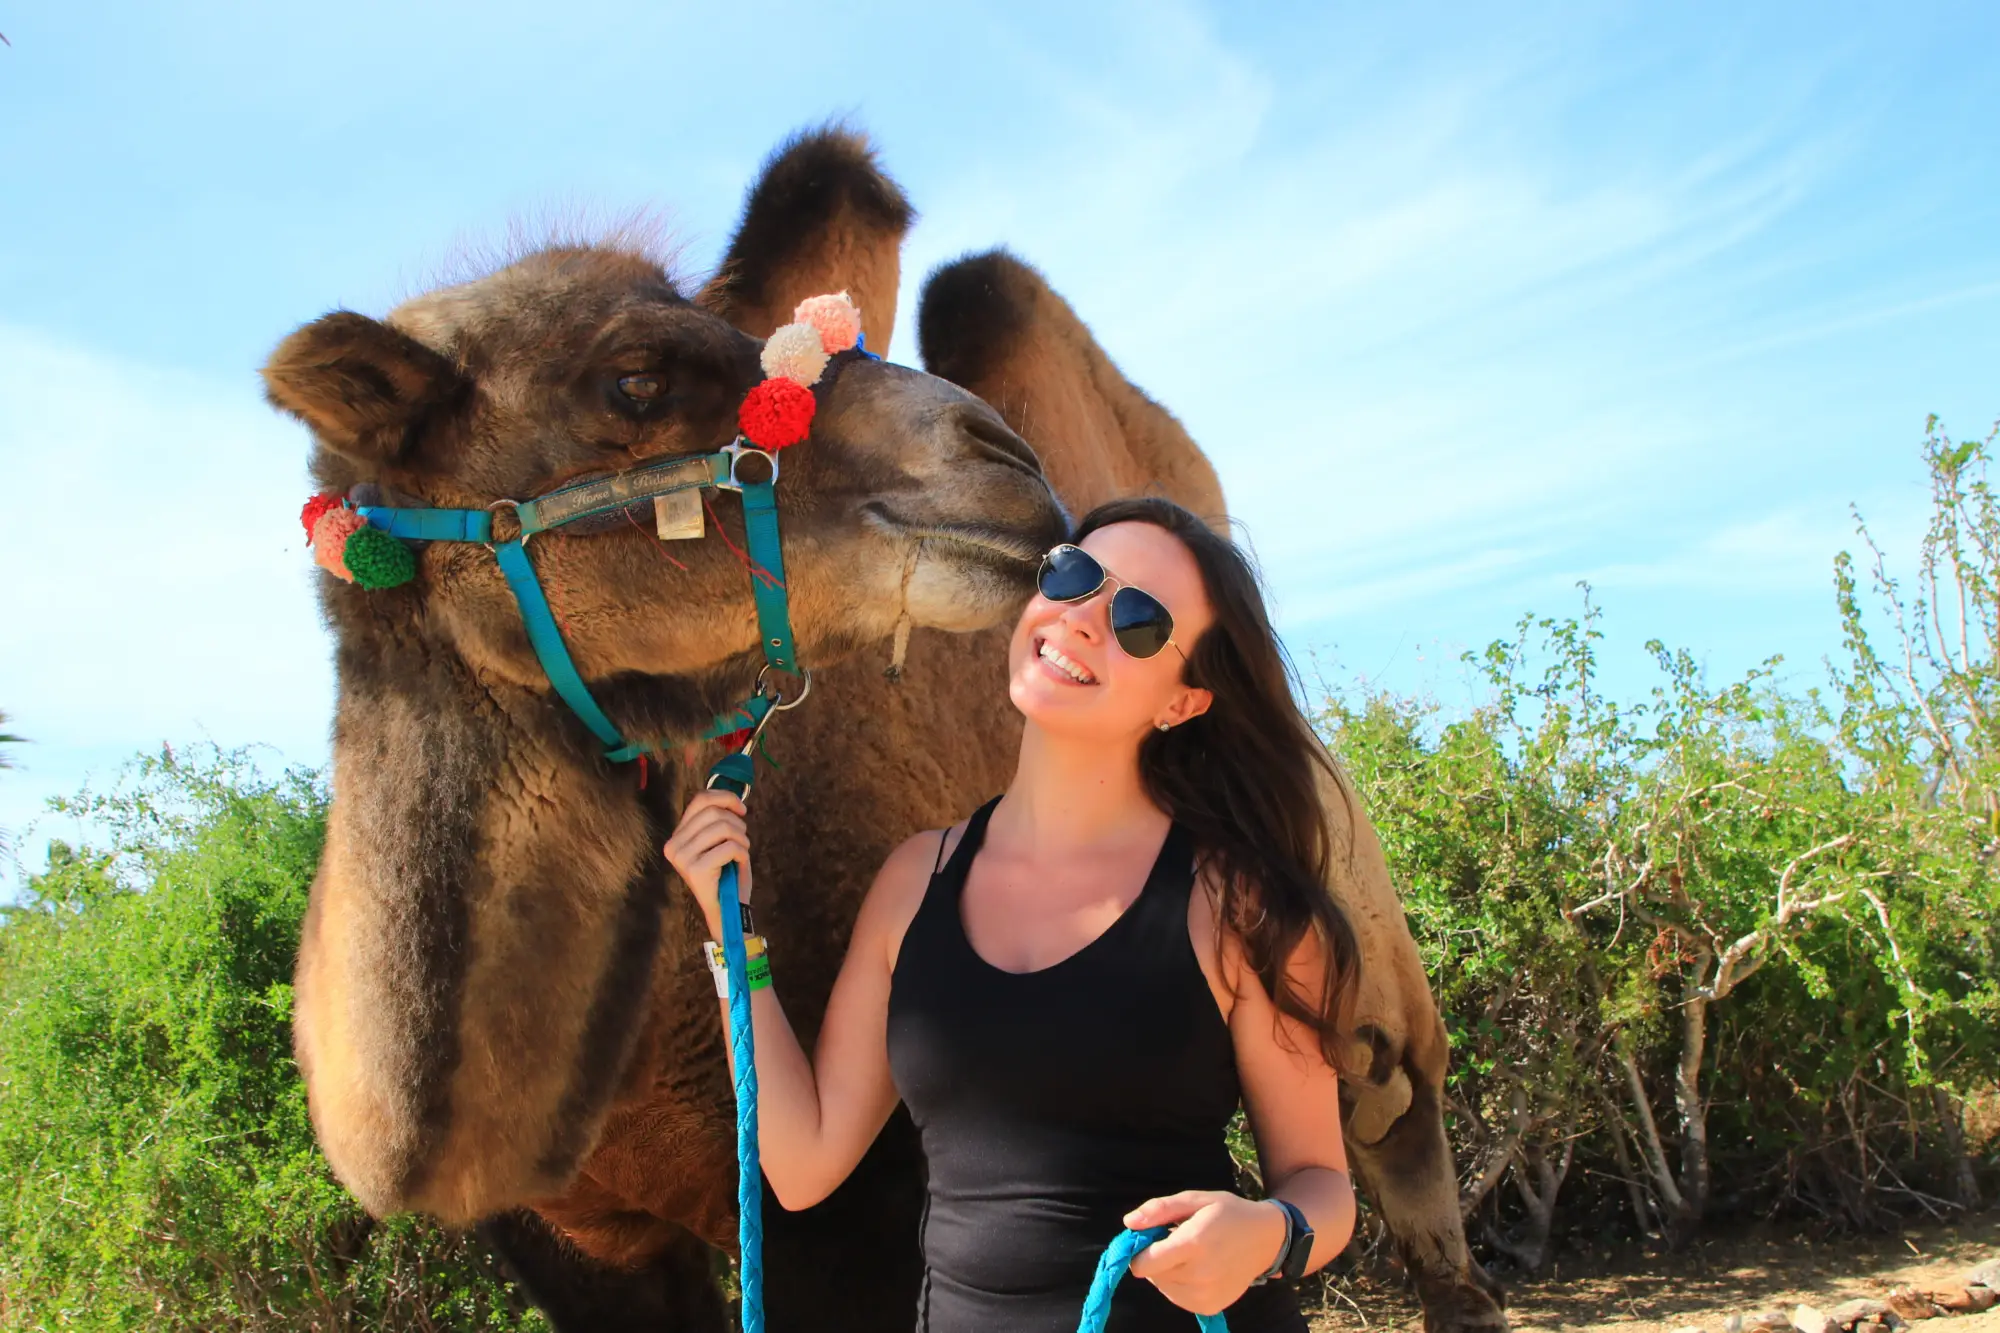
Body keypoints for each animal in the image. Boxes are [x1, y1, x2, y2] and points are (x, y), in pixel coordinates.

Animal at [263, 127, 1506, 1333]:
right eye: (634, 378)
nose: (1004, 462)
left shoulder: (858, 1198)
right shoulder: (573, 1239)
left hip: (1370, 985)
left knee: (1402, 1132)